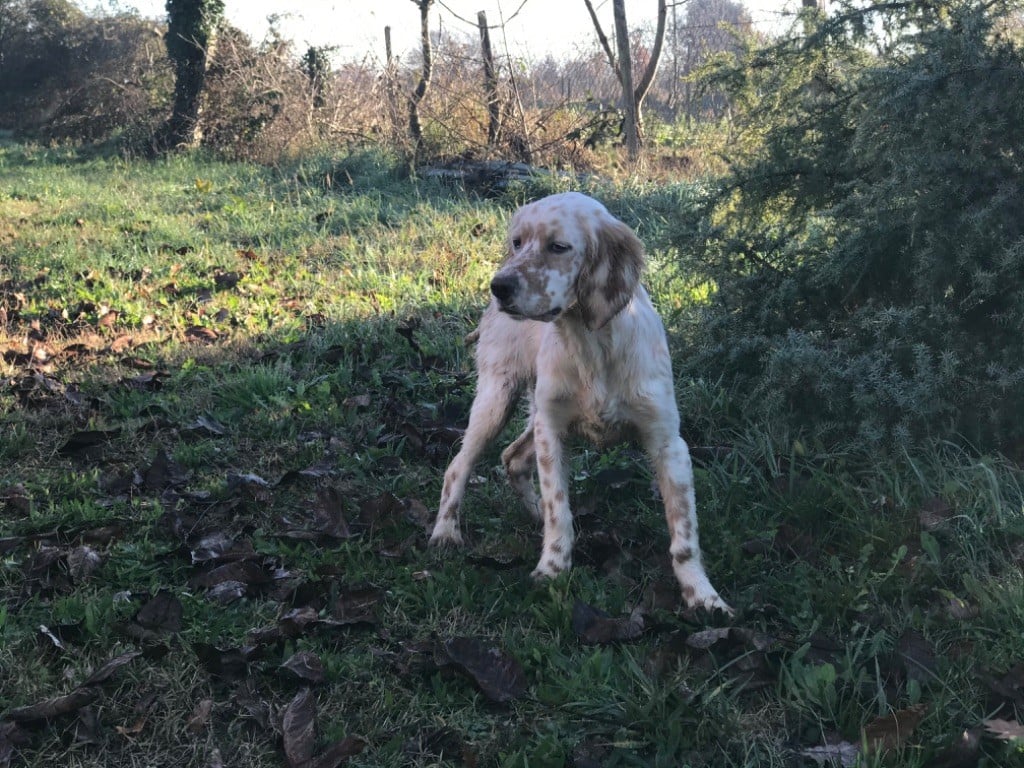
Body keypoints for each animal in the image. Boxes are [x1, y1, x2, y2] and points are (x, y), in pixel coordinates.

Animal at [428, 195, 733, 618]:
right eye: (517, 242)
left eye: (558, 246)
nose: (499, 285)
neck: (591, 344)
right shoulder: (553, 433)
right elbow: (560, 510)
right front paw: (552, 570)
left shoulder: (668, 442)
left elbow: (684, 532)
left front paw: (703, 596)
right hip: (497, 398)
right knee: (459, 465)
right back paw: (445, 532)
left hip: (533, 413)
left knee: (512, 457)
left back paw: (531, 511)